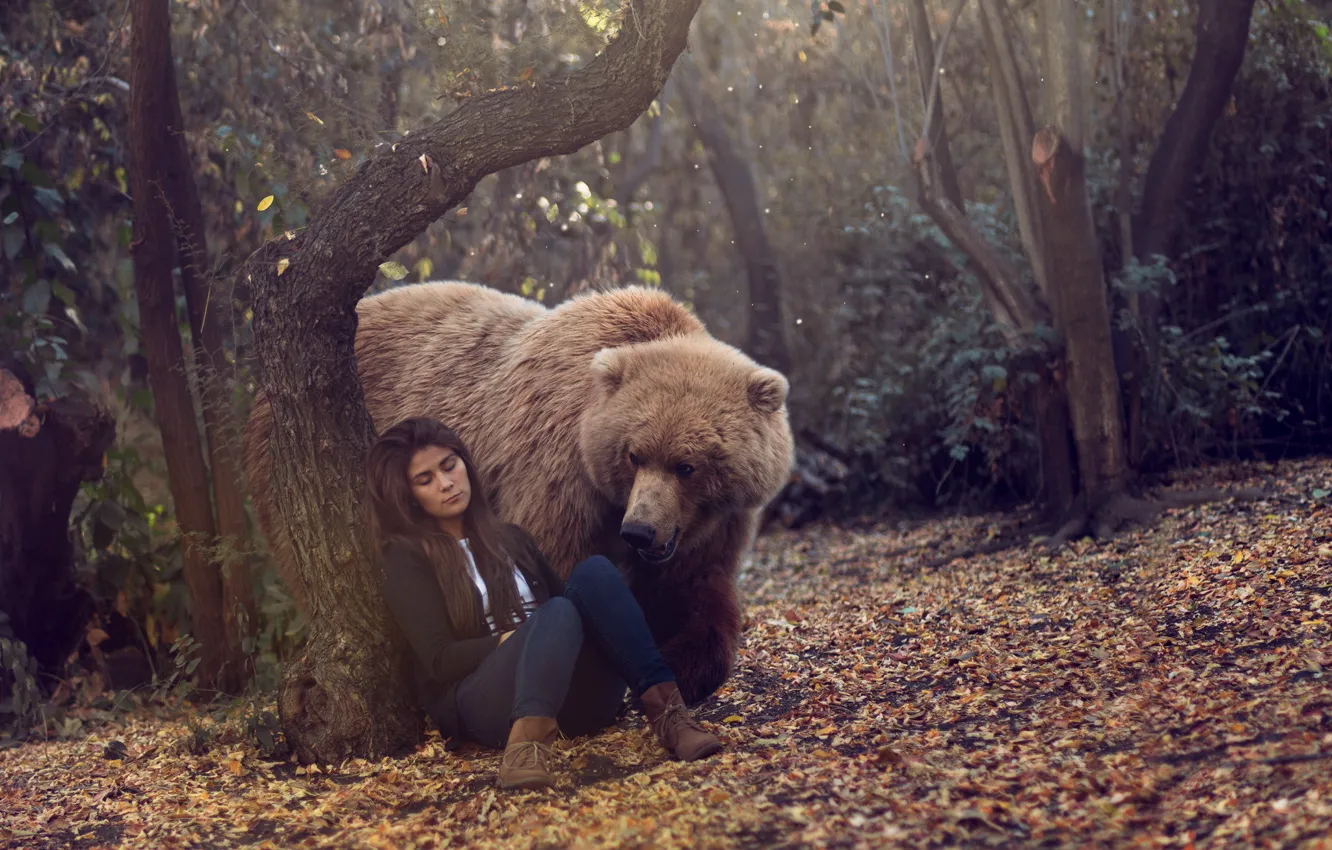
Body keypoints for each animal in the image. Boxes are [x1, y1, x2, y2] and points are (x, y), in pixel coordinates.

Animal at [243, 281, 794, 705]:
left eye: (687, 465)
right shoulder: (556, 473)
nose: (640, 531)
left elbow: (698, 593)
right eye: (634, 454)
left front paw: (684, 664)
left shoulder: (710, 527)